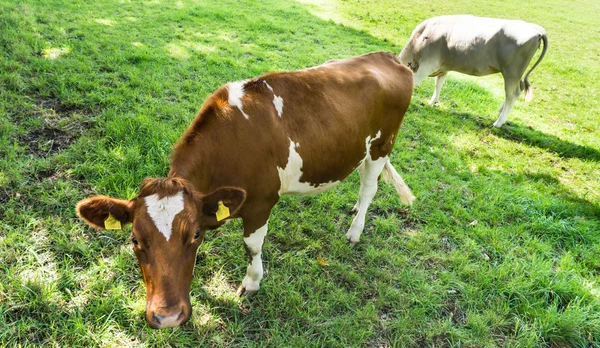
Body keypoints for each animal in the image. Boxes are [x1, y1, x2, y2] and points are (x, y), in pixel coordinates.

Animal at [75, 50, 414, 328]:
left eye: (194, 235)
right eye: (134, 239)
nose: (167, 317)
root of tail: (388, 57)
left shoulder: (260, 203)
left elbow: (251, 246)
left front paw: (251, 284)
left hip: (382, 144)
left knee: (369, 188)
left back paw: (355, 230)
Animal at [398, 14, 548, 128]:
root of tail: (535, 28)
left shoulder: (427, 64)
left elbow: (414, 83)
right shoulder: (443, 67)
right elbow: (438, 84)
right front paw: (432, 102)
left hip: (512, 72)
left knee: (512, 94)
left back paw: (498, 122)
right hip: (516, 74)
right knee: (518, 89)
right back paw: (500, 112)